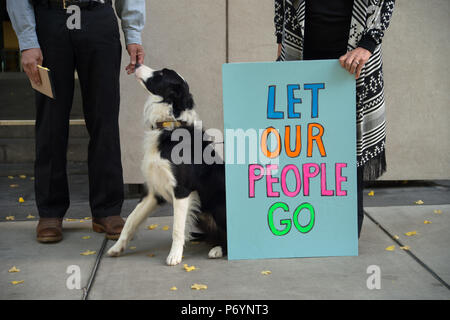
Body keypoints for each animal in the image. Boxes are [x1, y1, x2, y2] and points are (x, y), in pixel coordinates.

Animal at [107, 64, 227, 264]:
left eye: (162, 73)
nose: (136, 64)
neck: (168, 126)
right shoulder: (153, 191)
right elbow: (131, 220)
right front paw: (117, 247)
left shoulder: (182, 190)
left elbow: (177, 228)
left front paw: (174, 256)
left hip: (218, 205)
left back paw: (217, 250)